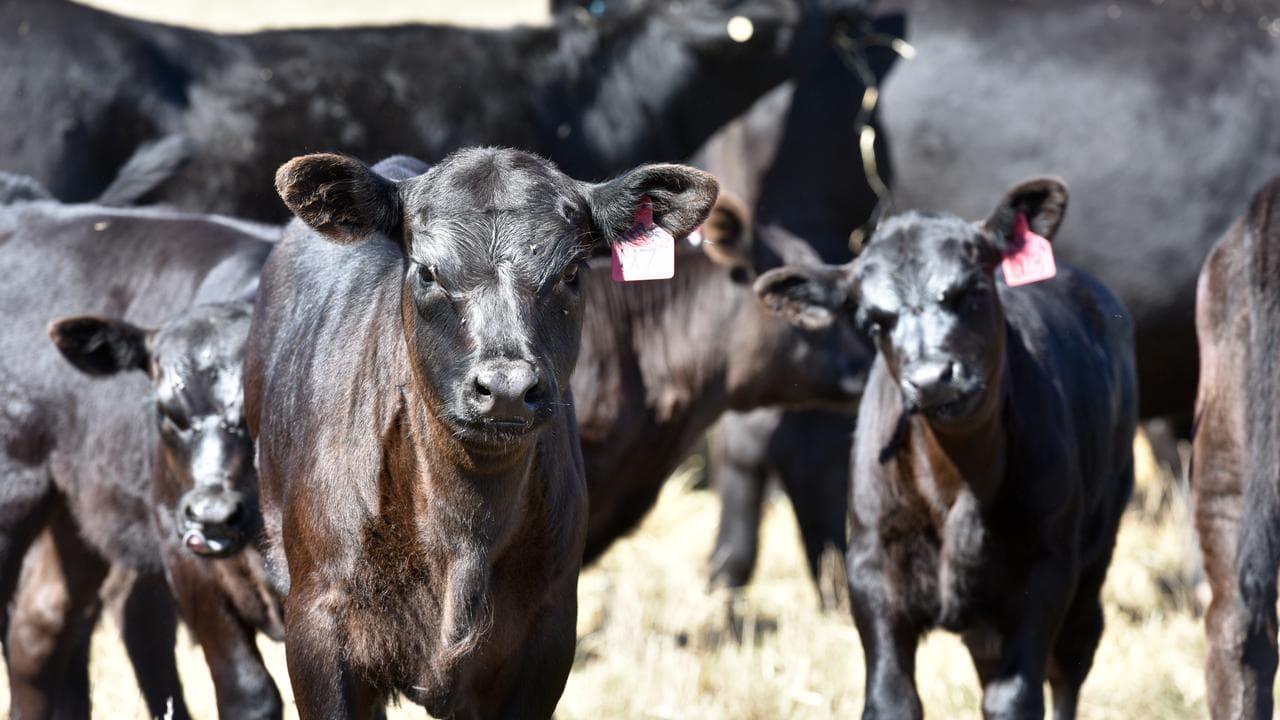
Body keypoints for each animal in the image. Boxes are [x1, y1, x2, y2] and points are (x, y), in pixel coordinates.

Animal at [0, 175, 282, 718]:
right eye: (166, 411)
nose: (213, 515)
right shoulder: (183, 554)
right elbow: (249, 693)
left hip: (79, 516)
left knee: (40, 629)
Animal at [245, 148, 718, 718]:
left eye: (571, 272)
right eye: (427, 272)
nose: (507, 389)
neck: (463, 529)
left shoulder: (547, 630)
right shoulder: (317, 625)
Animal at [754, 178, 1136, 718]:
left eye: (970, 291)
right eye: (874, 321)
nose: (932, 378)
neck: (957, 482)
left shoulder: (1047, 568)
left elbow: (1014, 696)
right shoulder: (871, 566)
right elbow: (892, 697)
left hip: (1096, 551)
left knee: (1073, 658)